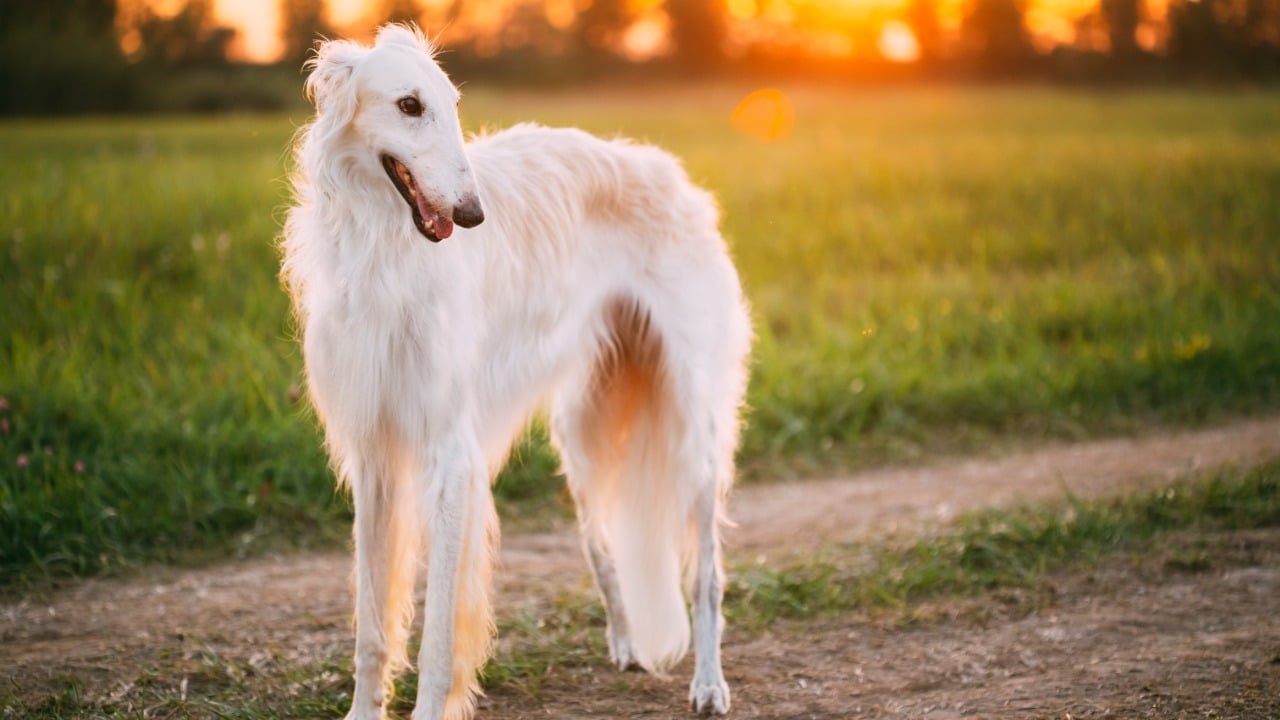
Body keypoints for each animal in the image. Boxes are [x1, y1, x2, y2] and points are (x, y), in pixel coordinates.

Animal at [280, 23, 747, 717]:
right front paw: (364, 710)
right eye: (409, 105)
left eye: (452, 105)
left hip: (693, 427)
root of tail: (672, 176)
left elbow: (438, 634)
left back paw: (710, 682)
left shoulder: (450, 457)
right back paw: (628, 643)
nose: (473, 214)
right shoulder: (375, 456)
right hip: (582, 438)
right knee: (603, 550)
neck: (386, 251)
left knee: (708, 576)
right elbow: (373, 625)